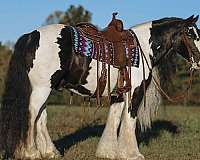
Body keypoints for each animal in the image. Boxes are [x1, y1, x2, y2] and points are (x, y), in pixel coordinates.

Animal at [0, 14, 200, 159]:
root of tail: (31, 36)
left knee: (40, 117)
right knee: (31, 114)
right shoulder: (134, 93)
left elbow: (114, 119)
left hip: (45, 89)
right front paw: (132, 154)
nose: (199, 62)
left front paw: (108, 152)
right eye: (191, 34)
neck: (144, 46)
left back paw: (50, 152)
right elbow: (129, 121)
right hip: (41, 89)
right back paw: (30, 152)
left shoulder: (119, 94)